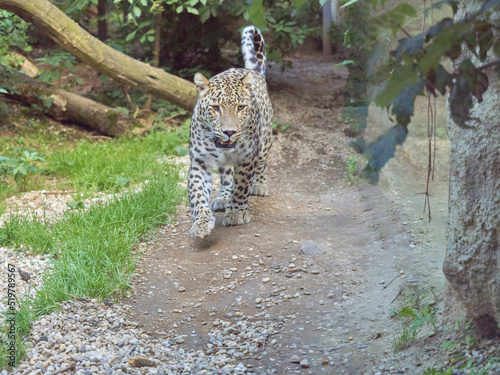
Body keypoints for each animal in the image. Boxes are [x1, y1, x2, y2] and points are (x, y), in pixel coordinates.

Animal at [188, 25, 274, 241]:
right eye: (215, 108)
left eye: (241, 107)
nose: (229, 132)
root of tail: (252, 70)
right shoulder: (200, 161)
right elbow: (197, 193)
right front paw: (200, 223)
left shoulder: (247, 157)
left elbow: (242, 185)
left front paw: (236, 213)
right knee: (226, 176)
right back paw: (223, 196)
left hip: (264, 140)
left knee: (261, 164)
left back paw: (259, 185)